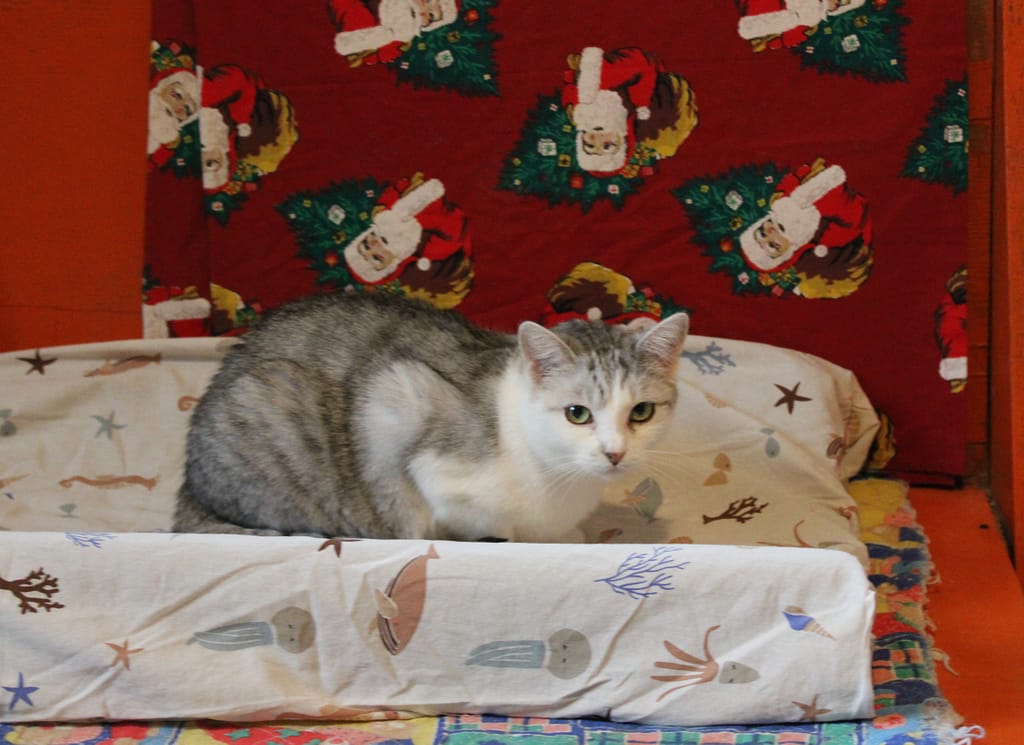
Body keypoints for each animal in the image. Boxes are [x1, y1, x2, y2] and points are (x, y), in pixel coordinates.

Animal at [173, 291, 689, 541]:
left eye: (641, 411)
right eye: (577, 414)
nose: (615, 453)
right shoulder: (399, 398)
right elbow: (492, 525)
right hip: (272, 398)